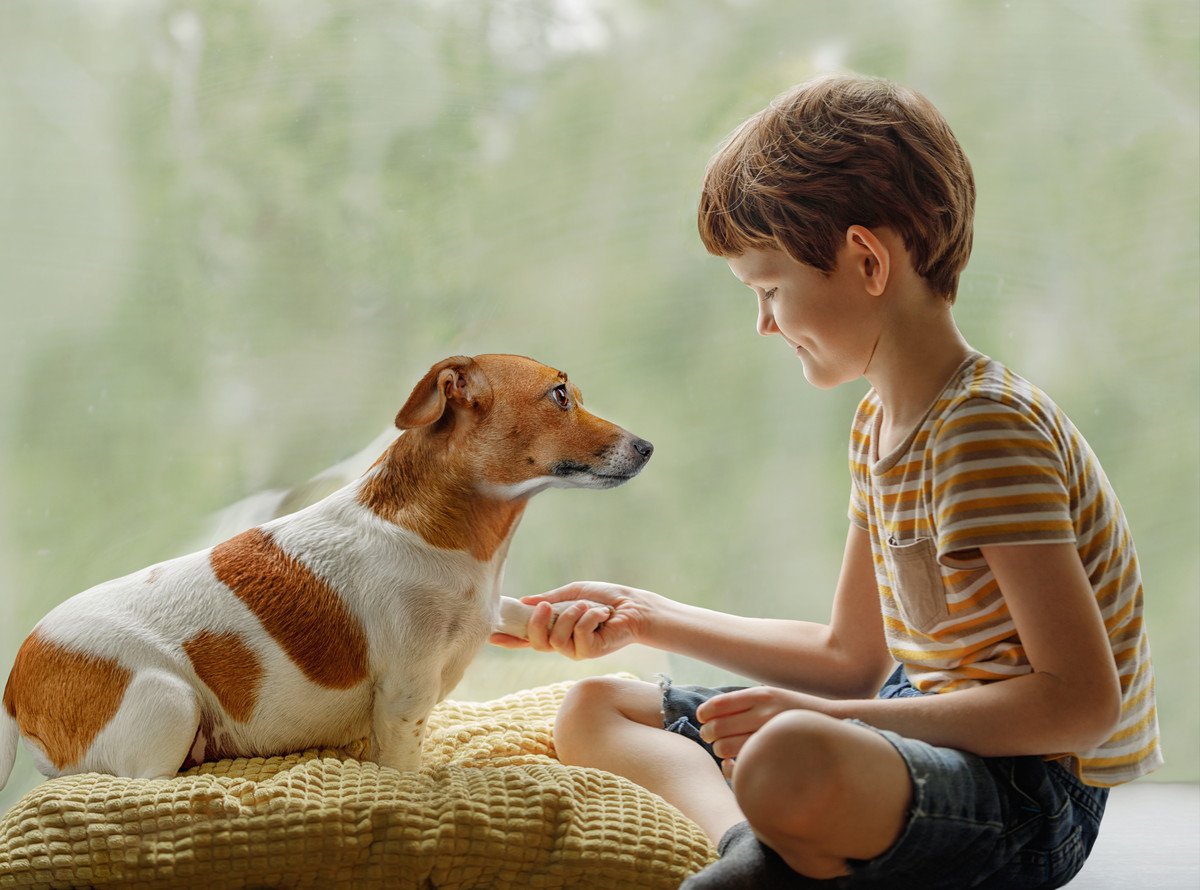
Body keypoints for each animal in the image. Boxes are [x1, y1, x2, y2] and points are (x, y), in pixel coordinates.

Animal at [0, 355, 652, 786]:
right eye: (560, 396)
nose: (647, 446)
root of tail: (14, 686)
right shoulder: (404, 696)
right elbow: (404, 767)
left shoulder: (483, 611)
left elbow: (517, 610)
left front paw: (581, 614)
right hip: (169, 704)